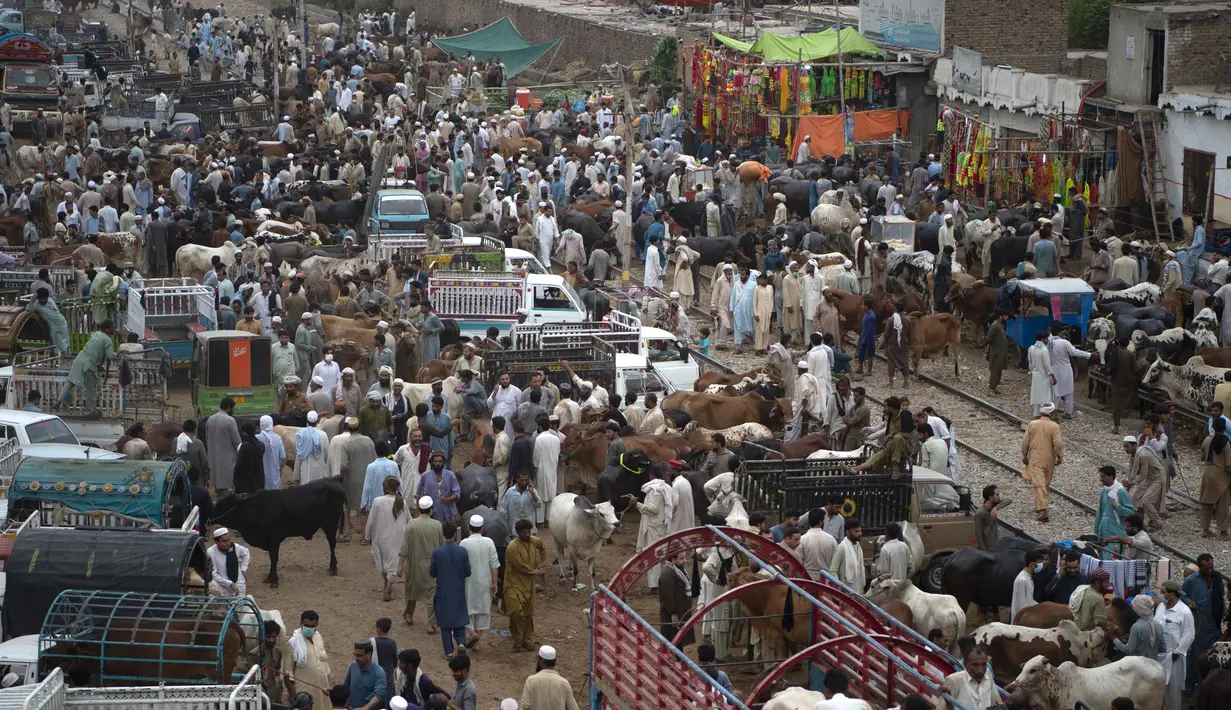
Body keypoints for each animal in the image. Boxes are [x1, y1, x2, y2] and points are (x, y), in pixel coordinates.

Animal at [212, 477, 344, 585]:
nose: (210, 515)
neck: (255, 508)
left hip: (330, 524)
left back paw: (333, 568)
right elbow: (272, 558)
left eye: (221, 504)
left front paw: (274, 580)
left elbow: (274, 557)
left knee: (332, 544)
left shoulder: (275, 537)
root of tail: (332, 480)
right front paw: (269, 578)